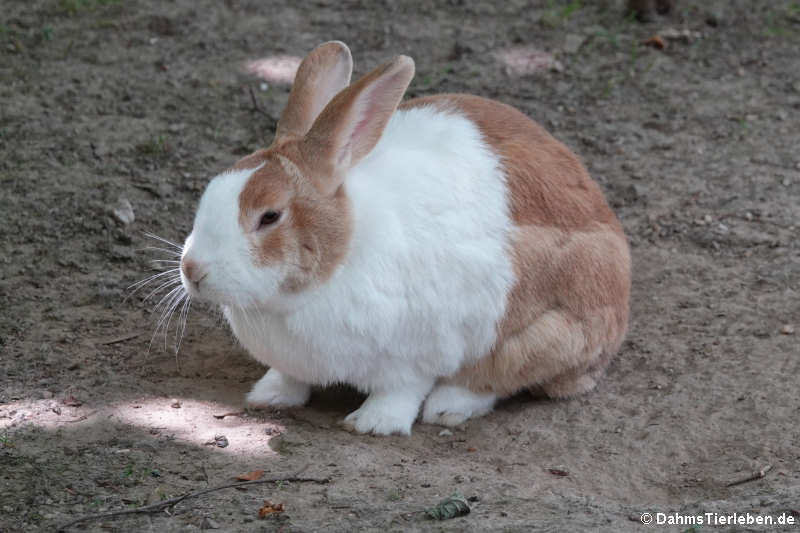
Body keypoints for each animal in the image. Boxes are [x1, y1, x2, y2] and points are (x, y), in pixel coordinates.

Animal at [180, 40, 632, 432]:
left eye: (269, 216)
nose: (191, 270)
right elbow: (290, 378)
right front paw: (269, 396)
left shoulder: (418, 353)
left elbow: (402, 390)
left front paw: (372, 423)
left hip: (543, 329)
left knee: (497, 378)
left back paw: (448, 406)